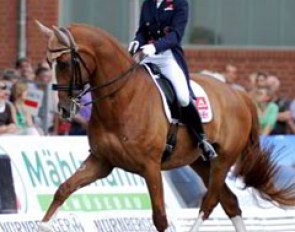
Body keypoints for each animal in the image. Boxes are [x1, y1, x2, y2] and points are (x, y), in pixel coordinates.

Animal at [37, 22, 295, 232]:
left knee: (210, 203)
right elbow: (63, 189)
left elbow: (160, 218)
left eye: (63, 63)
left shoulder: (150, 167)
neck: (123, 98)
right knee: (230, 202)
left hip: (223, 160)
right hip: (200, 162)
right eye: (49, 63)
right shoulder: (101, 162)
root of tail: (238, 93)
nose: (63, 110)